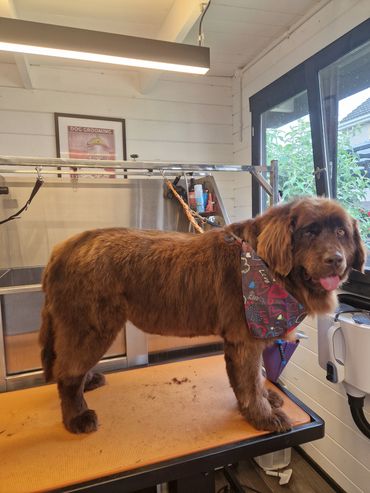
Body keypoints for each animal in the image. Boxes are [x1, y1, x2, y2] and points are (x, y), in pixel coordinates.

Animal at [39, 194, 366, 432]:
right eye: (309, 232)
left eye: (341, 232)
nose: (334, 259)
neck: (264, 263)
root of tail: (64, 248)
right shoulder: (245, 339)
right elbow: (249, 381)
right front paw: (263, 416)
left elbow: (255, 377)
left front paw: (267, 398)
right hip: (92, 326)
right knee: (66, 372)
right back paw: (77, 417)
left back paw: (89, 381)